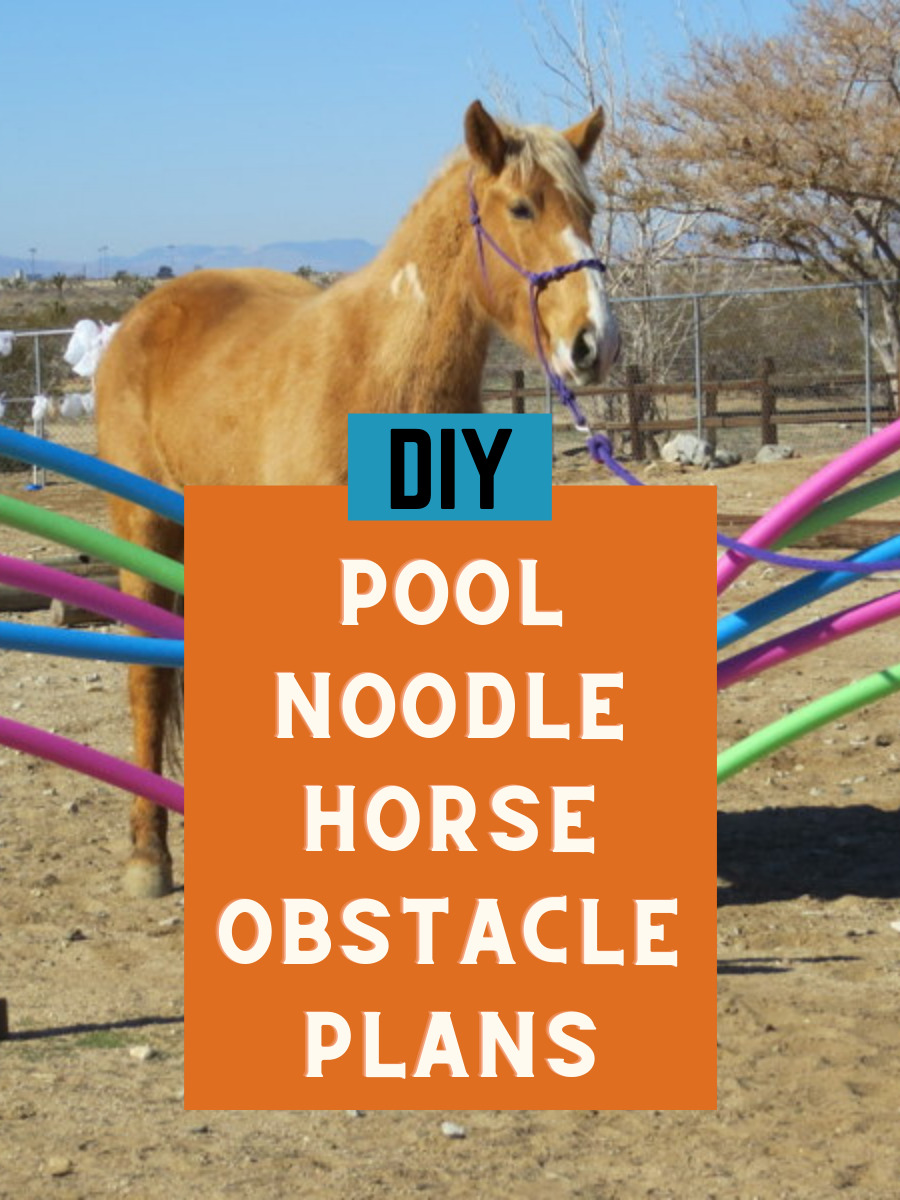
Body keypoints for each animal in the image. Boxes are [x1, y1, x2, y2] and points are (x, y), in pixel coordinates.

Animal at [95, 99, 620, 898]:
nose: (594, 343)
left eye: (588, 211)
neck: (380, 376)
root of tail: (147, 314)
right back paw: (148, 855)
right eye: (523, 207)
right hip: (145, 530)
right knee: (149, 681)